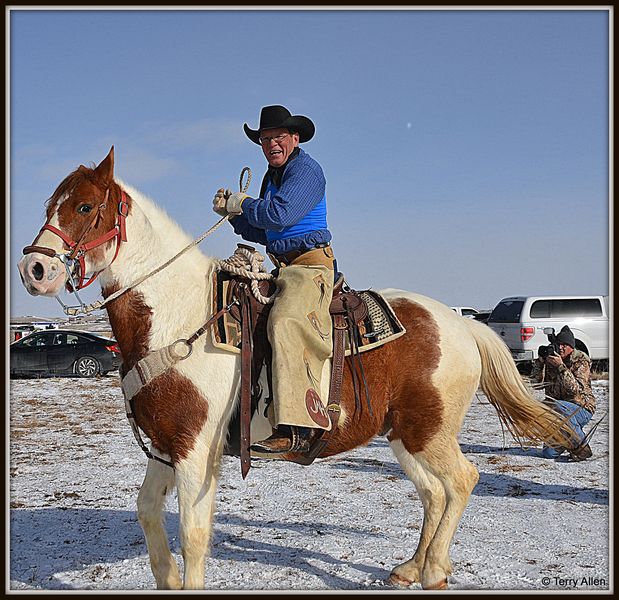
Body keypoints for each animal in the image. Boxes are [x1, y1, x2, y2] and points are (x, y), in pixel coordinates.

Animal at [20, 148, 580, 588]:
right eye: (50, 205)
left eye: (85, 206)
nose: (34, 269)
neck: (177, 314)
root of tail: (464, 325)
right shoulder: (165, 445)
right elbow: (147, 515)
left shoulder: (195, 452)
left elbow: (194, 538)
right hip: (406, 433)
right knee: (432, 492)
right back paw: (410, 568)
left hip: (430, 431)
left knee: (461, 480)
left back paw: (435, 571)